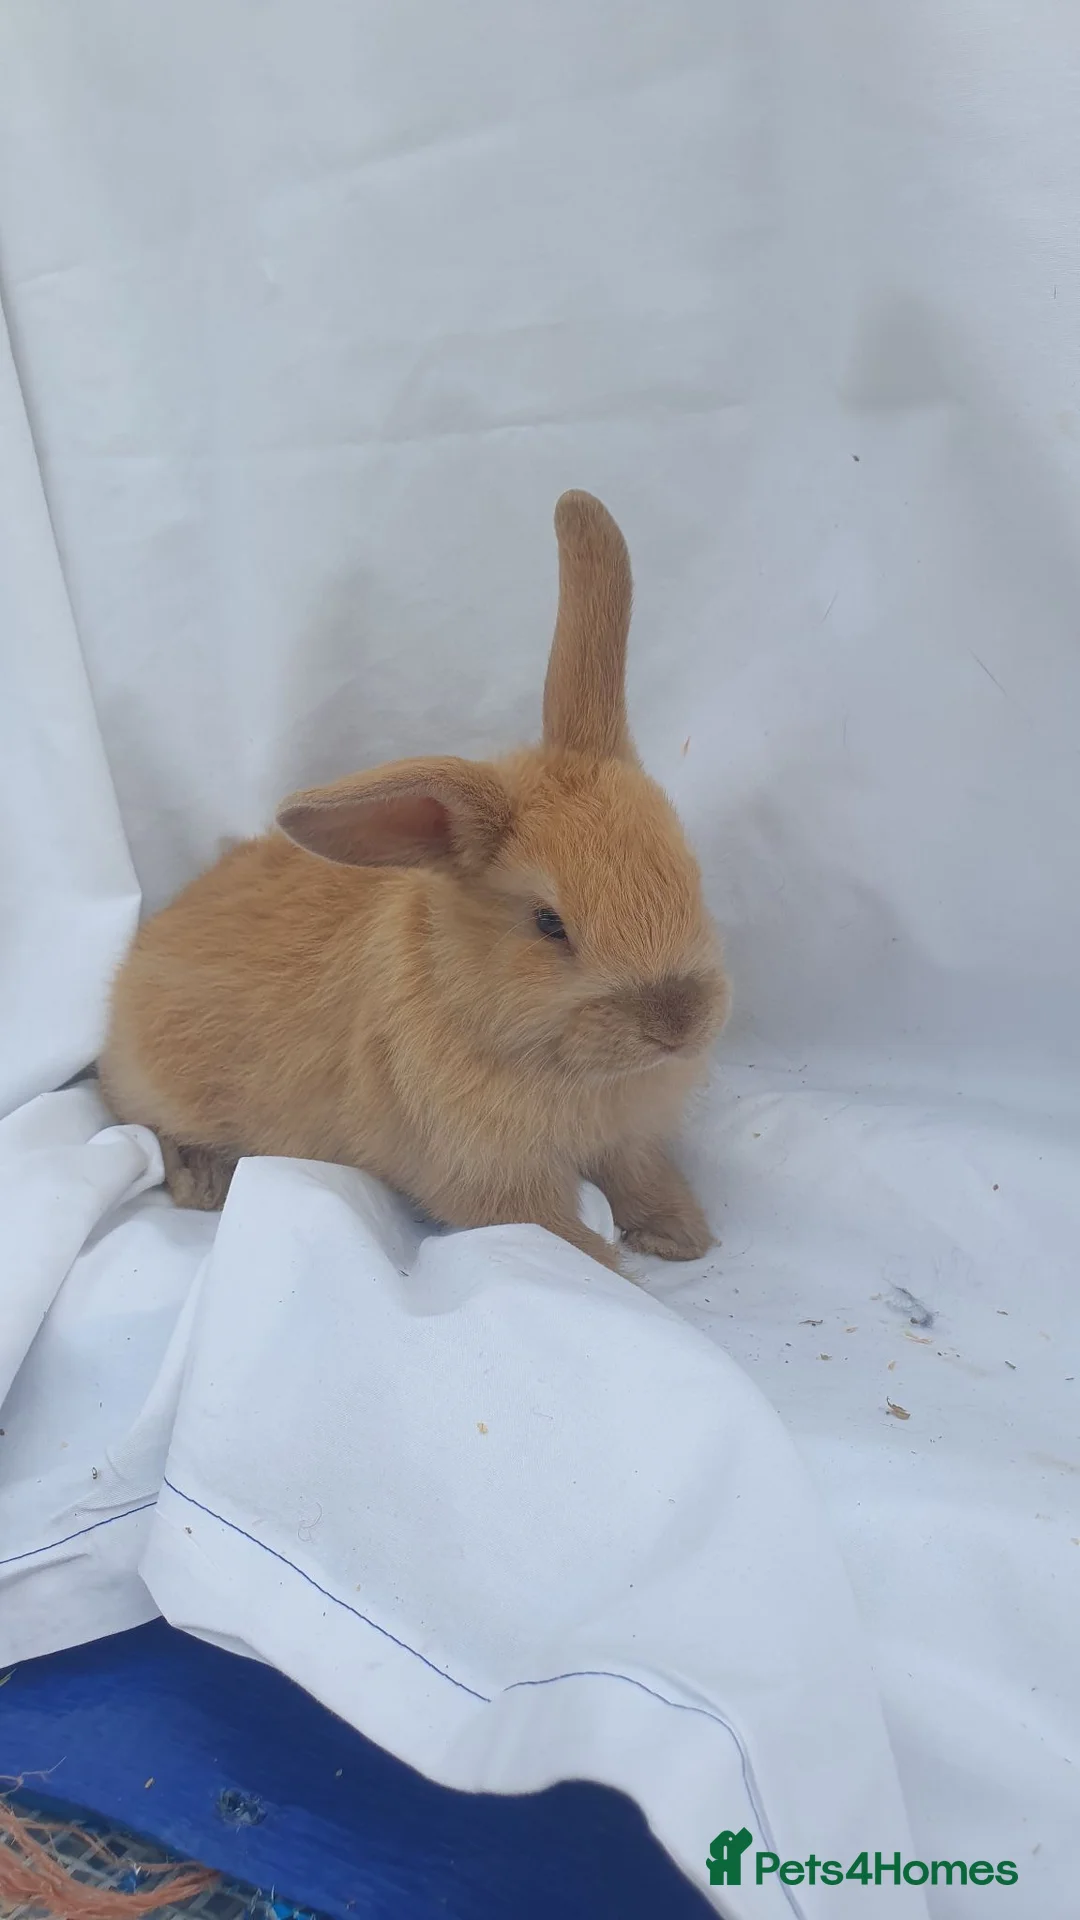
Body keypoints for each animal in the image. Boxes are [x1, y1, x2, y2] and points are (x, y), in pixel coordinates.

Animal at [99, 492, 731, 1273]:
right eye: (548, 923)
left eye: (689, 872)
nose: (678, 1023)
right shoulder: (489, 1178)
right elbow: (558, 1236)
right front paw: (620, 1270)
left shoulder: (627, 1140)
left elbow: (640, 1175)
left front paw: (682, 1235)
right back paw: (202, 1183)